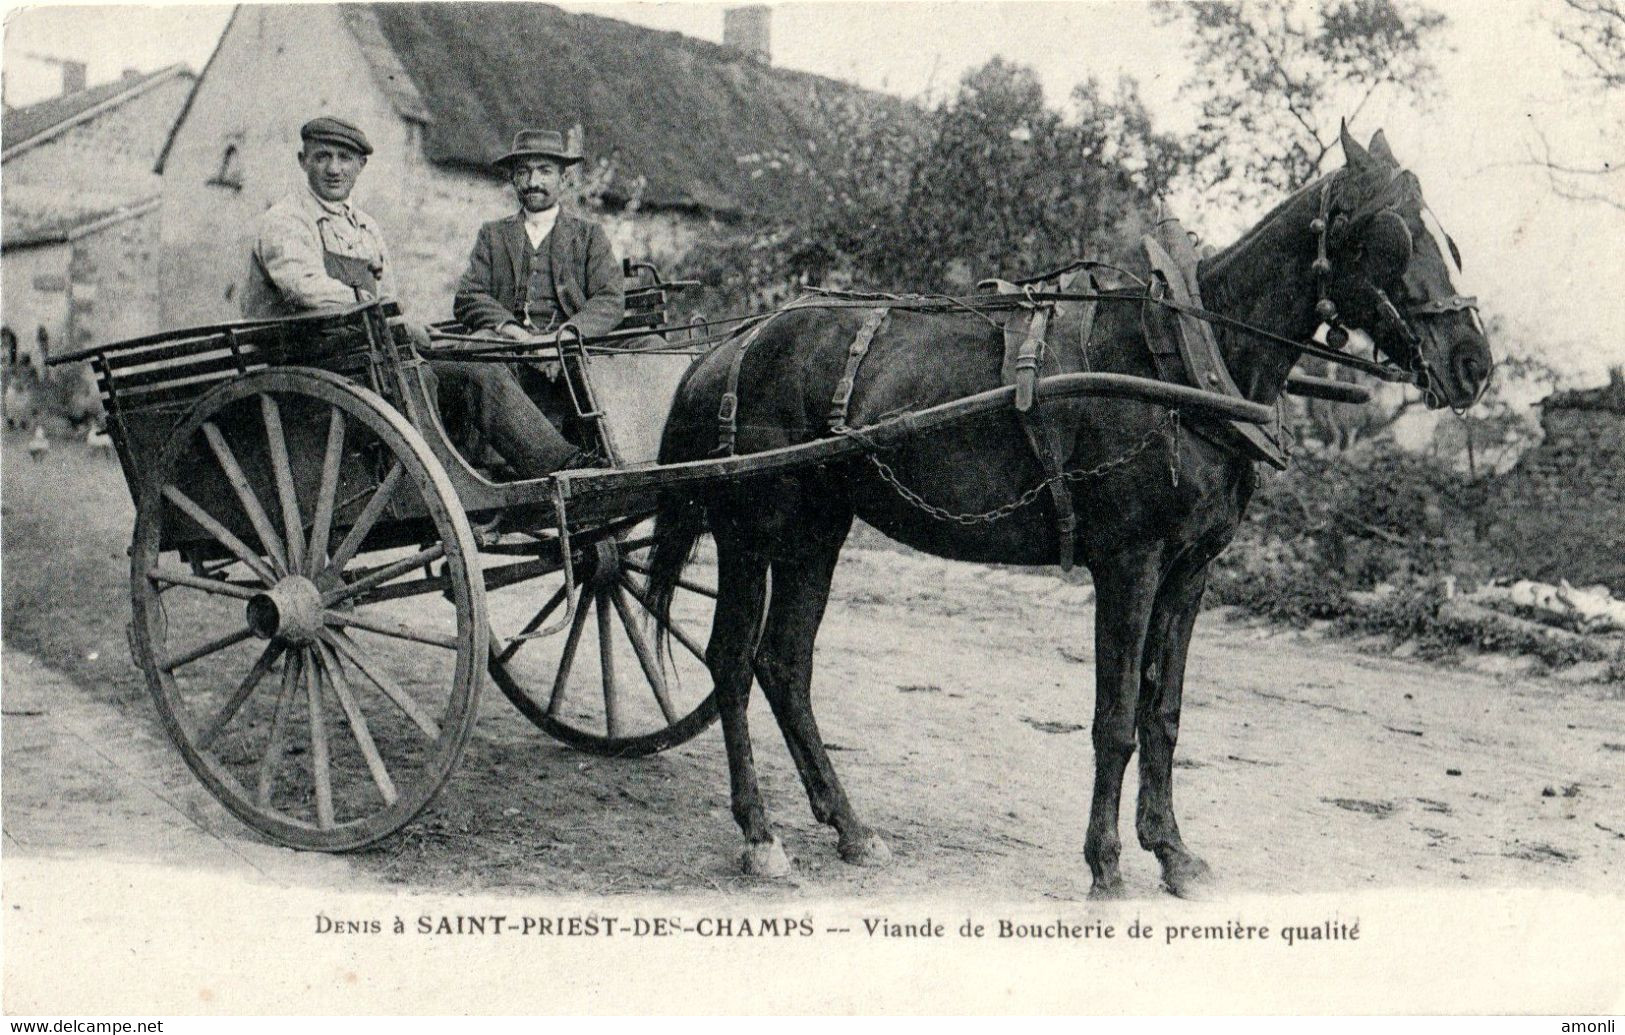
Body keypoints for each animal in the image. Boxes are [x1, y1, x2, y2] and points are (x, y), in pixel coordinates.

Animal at [646, 123, 1495, 896]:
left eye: (1446, 235)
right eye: (1392, 232)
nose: (1472, 363)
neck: (1182, 359)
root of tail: (731, 345)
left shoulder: (1189, 571)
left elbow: (1163, 714)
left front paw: (1173, 853)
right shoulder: (1129, 562)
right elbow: (1114, 720)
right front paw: (1107, 864)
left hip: (816, 531)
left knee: (783, 664)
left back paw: (850, 826)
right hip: (751, 530)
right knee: (730, 661)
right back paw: (759, 834)